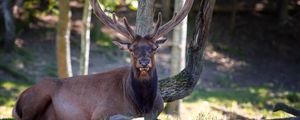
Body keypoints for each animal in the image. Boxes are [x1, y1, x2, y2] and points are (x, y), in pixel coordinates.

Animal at [12, 0, 192, 118]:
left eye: (154, 48)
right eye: (132, 49)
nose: (144, 62)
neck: (142, 105)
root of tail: (17, 102)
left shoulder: (157, 110)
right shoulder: (101, 112)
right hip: (38, 96)